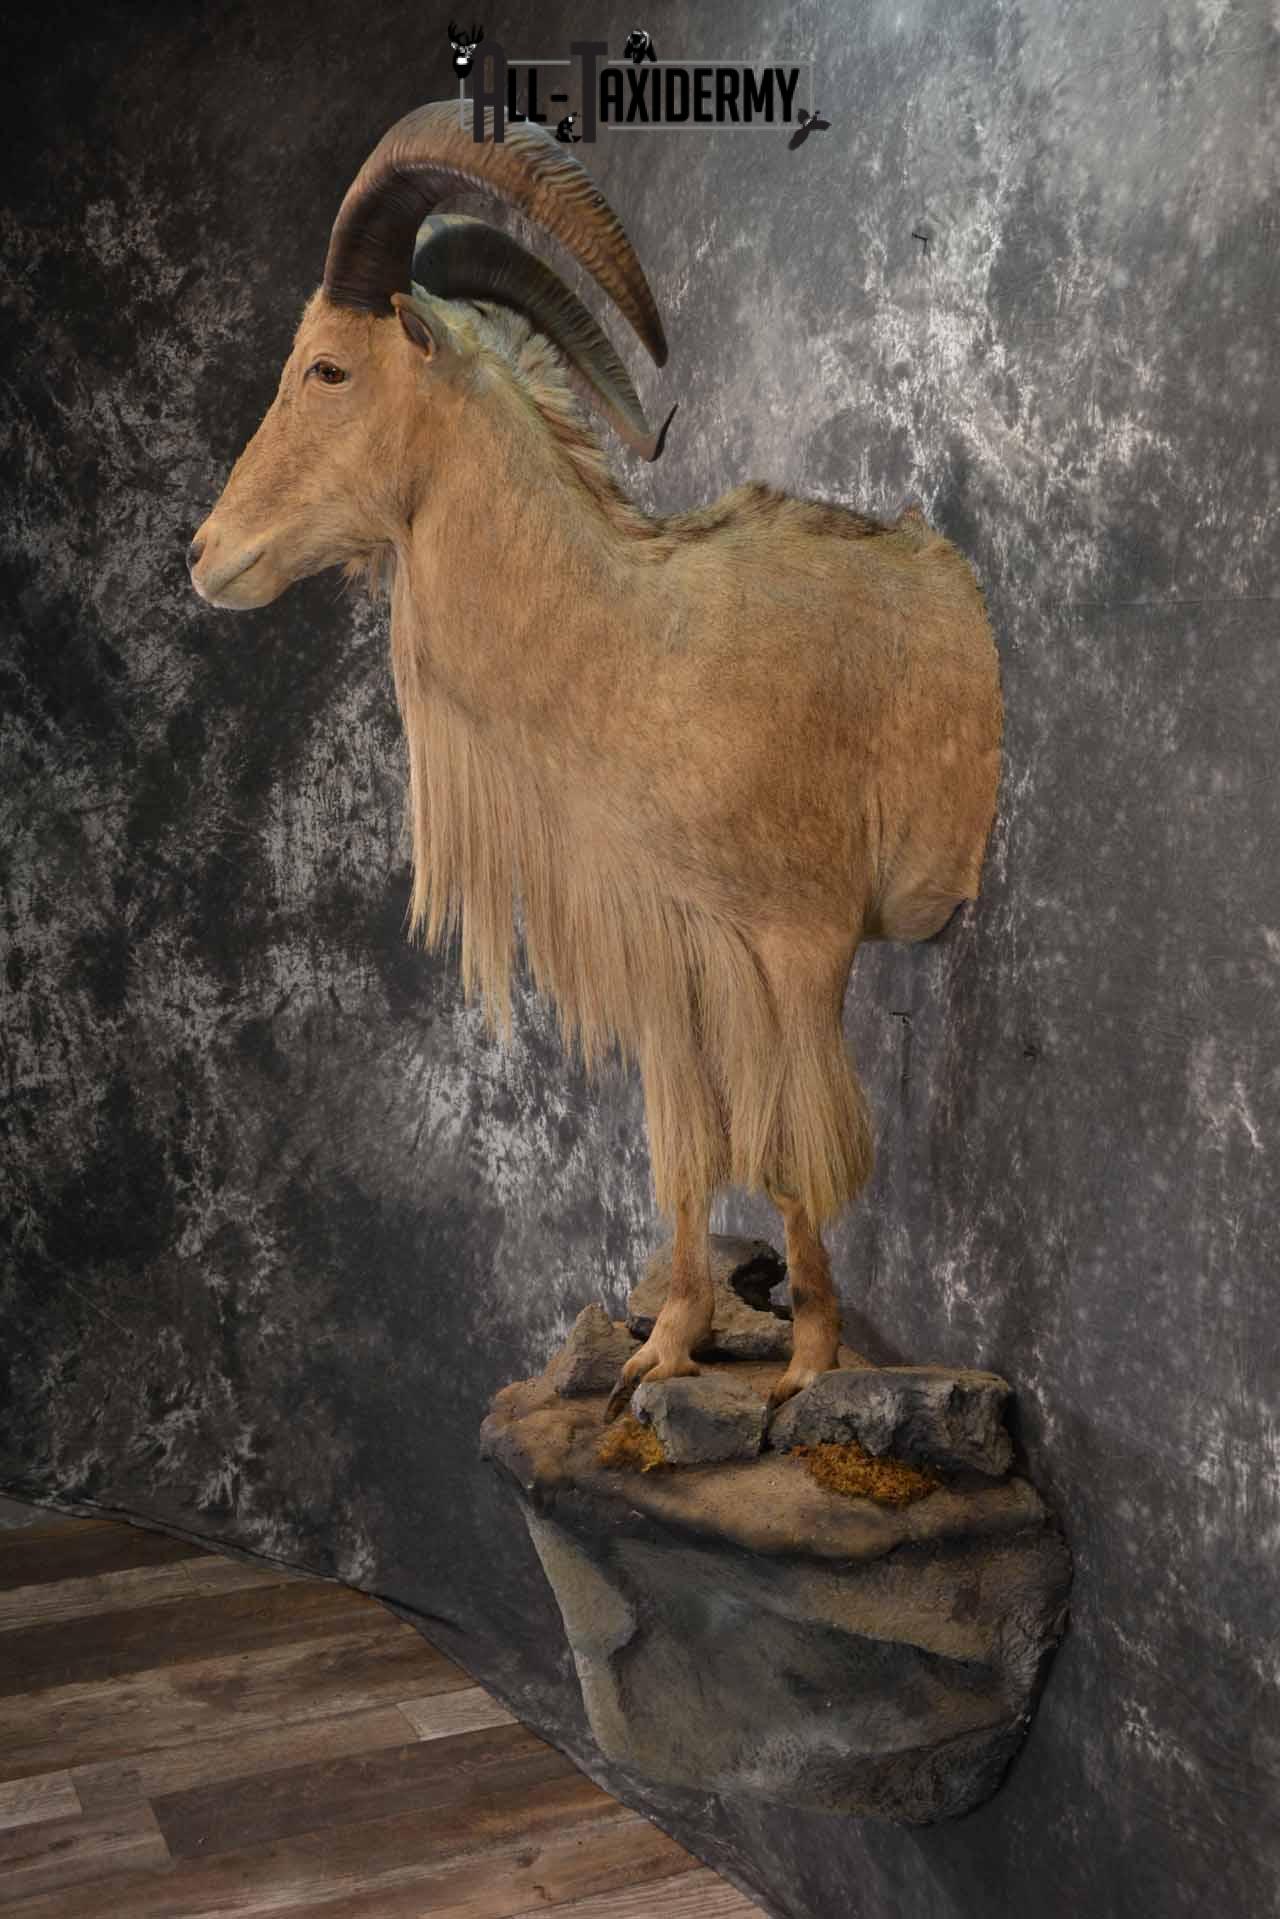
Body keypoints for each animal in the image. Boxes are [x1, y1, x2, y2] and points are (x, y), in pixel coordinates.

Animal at [188, 100, 1002, 1419]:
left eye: (327, 367)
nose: (206, 554)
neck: (647, 652)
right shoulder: (671, 962)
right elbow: (684, 1147)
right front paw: (662, 1347)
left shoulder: (798, 944)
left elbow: (795, 1147)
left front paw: (807, 1365)